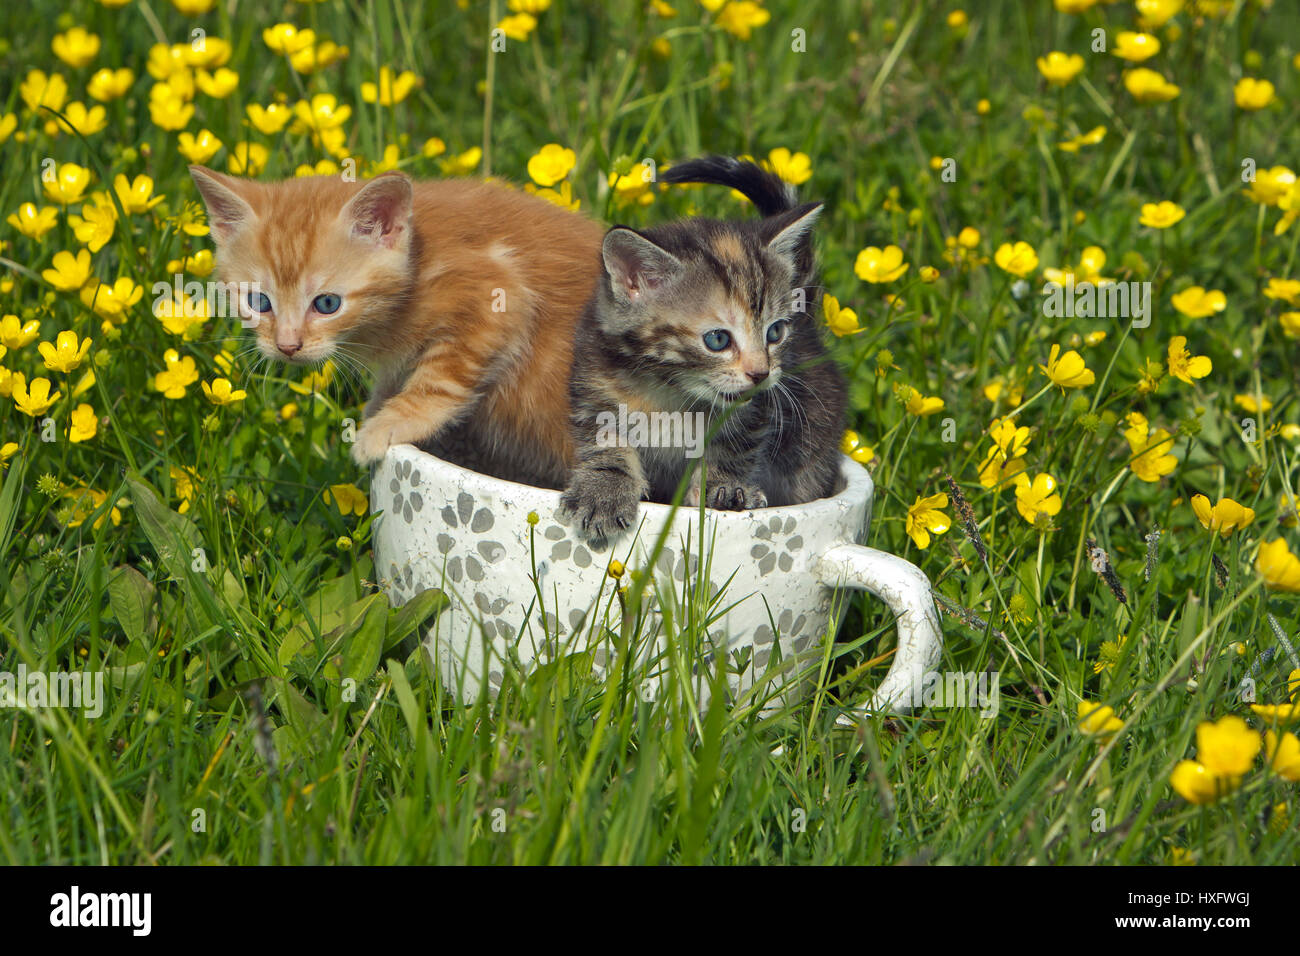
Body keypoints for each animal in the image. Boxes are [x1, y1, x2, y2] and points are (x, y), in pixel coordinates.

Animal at [187, 166, 603, 486]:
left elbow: (441, 378)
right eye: (259, 302)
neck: (417, 266)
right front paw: (379, 404)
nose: (287, 346)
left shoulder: (501, 293)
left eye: (327, 304)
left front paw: (388, 424)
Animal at [561, 153, 847, 548]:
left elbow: (734, 447)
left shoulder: (756, 412)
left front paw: (725, 487)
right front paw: (603, 491)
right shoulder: (594, 389)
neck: (670, 393)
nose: (761, 373)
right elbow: (605, 444)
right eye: (717, 340)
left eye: (775, 332)